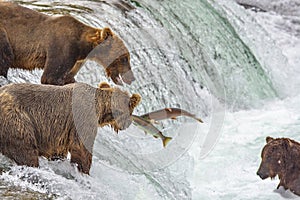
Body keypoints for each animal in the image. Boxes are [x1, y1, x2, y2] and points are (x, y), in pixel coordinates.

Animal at [0, 1, 134, 85]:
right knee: (6, 57)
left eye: (127, 57)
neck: (84, 47)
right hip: (4, 34)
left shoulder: (78, 60)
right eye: (124, 58)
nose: (132, 78)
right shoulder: (63, 46)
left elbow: (69, 77)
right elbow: (51, 76)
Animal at [0, 82, 141, 174]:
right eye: (131, 111)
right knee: (26, 149)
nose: (127, 124)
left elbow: (58, 151)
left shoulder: (60, 134)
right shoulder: (83, 117)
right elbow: (81, 147)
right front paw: (84, 170)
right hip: (17, 119)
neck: (101, 107)